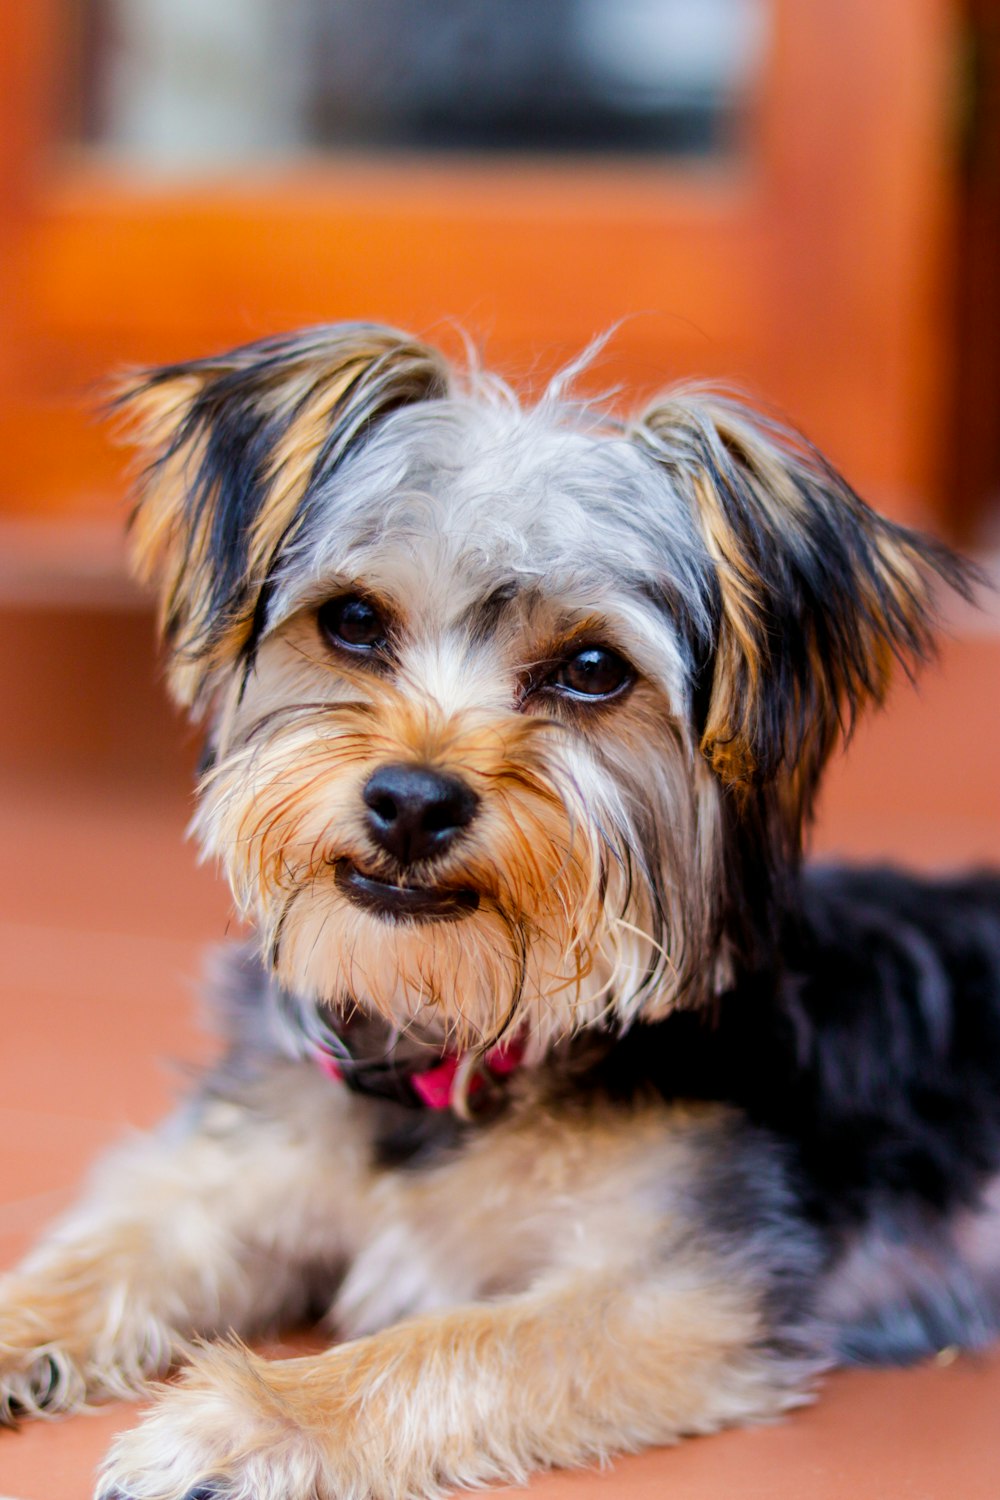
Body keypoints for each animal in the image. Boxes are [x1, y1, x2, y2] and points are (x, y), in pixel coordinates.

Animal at [1, 322, 1000, 1494]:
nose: (411, 800)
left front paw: (250, 1420)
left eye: (592, 670)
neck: (458, 1044)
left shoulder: (670, 1291)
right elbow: (122, 1236)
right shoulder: (246, 1163)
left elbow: (448, 1347)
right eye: (352, 621)